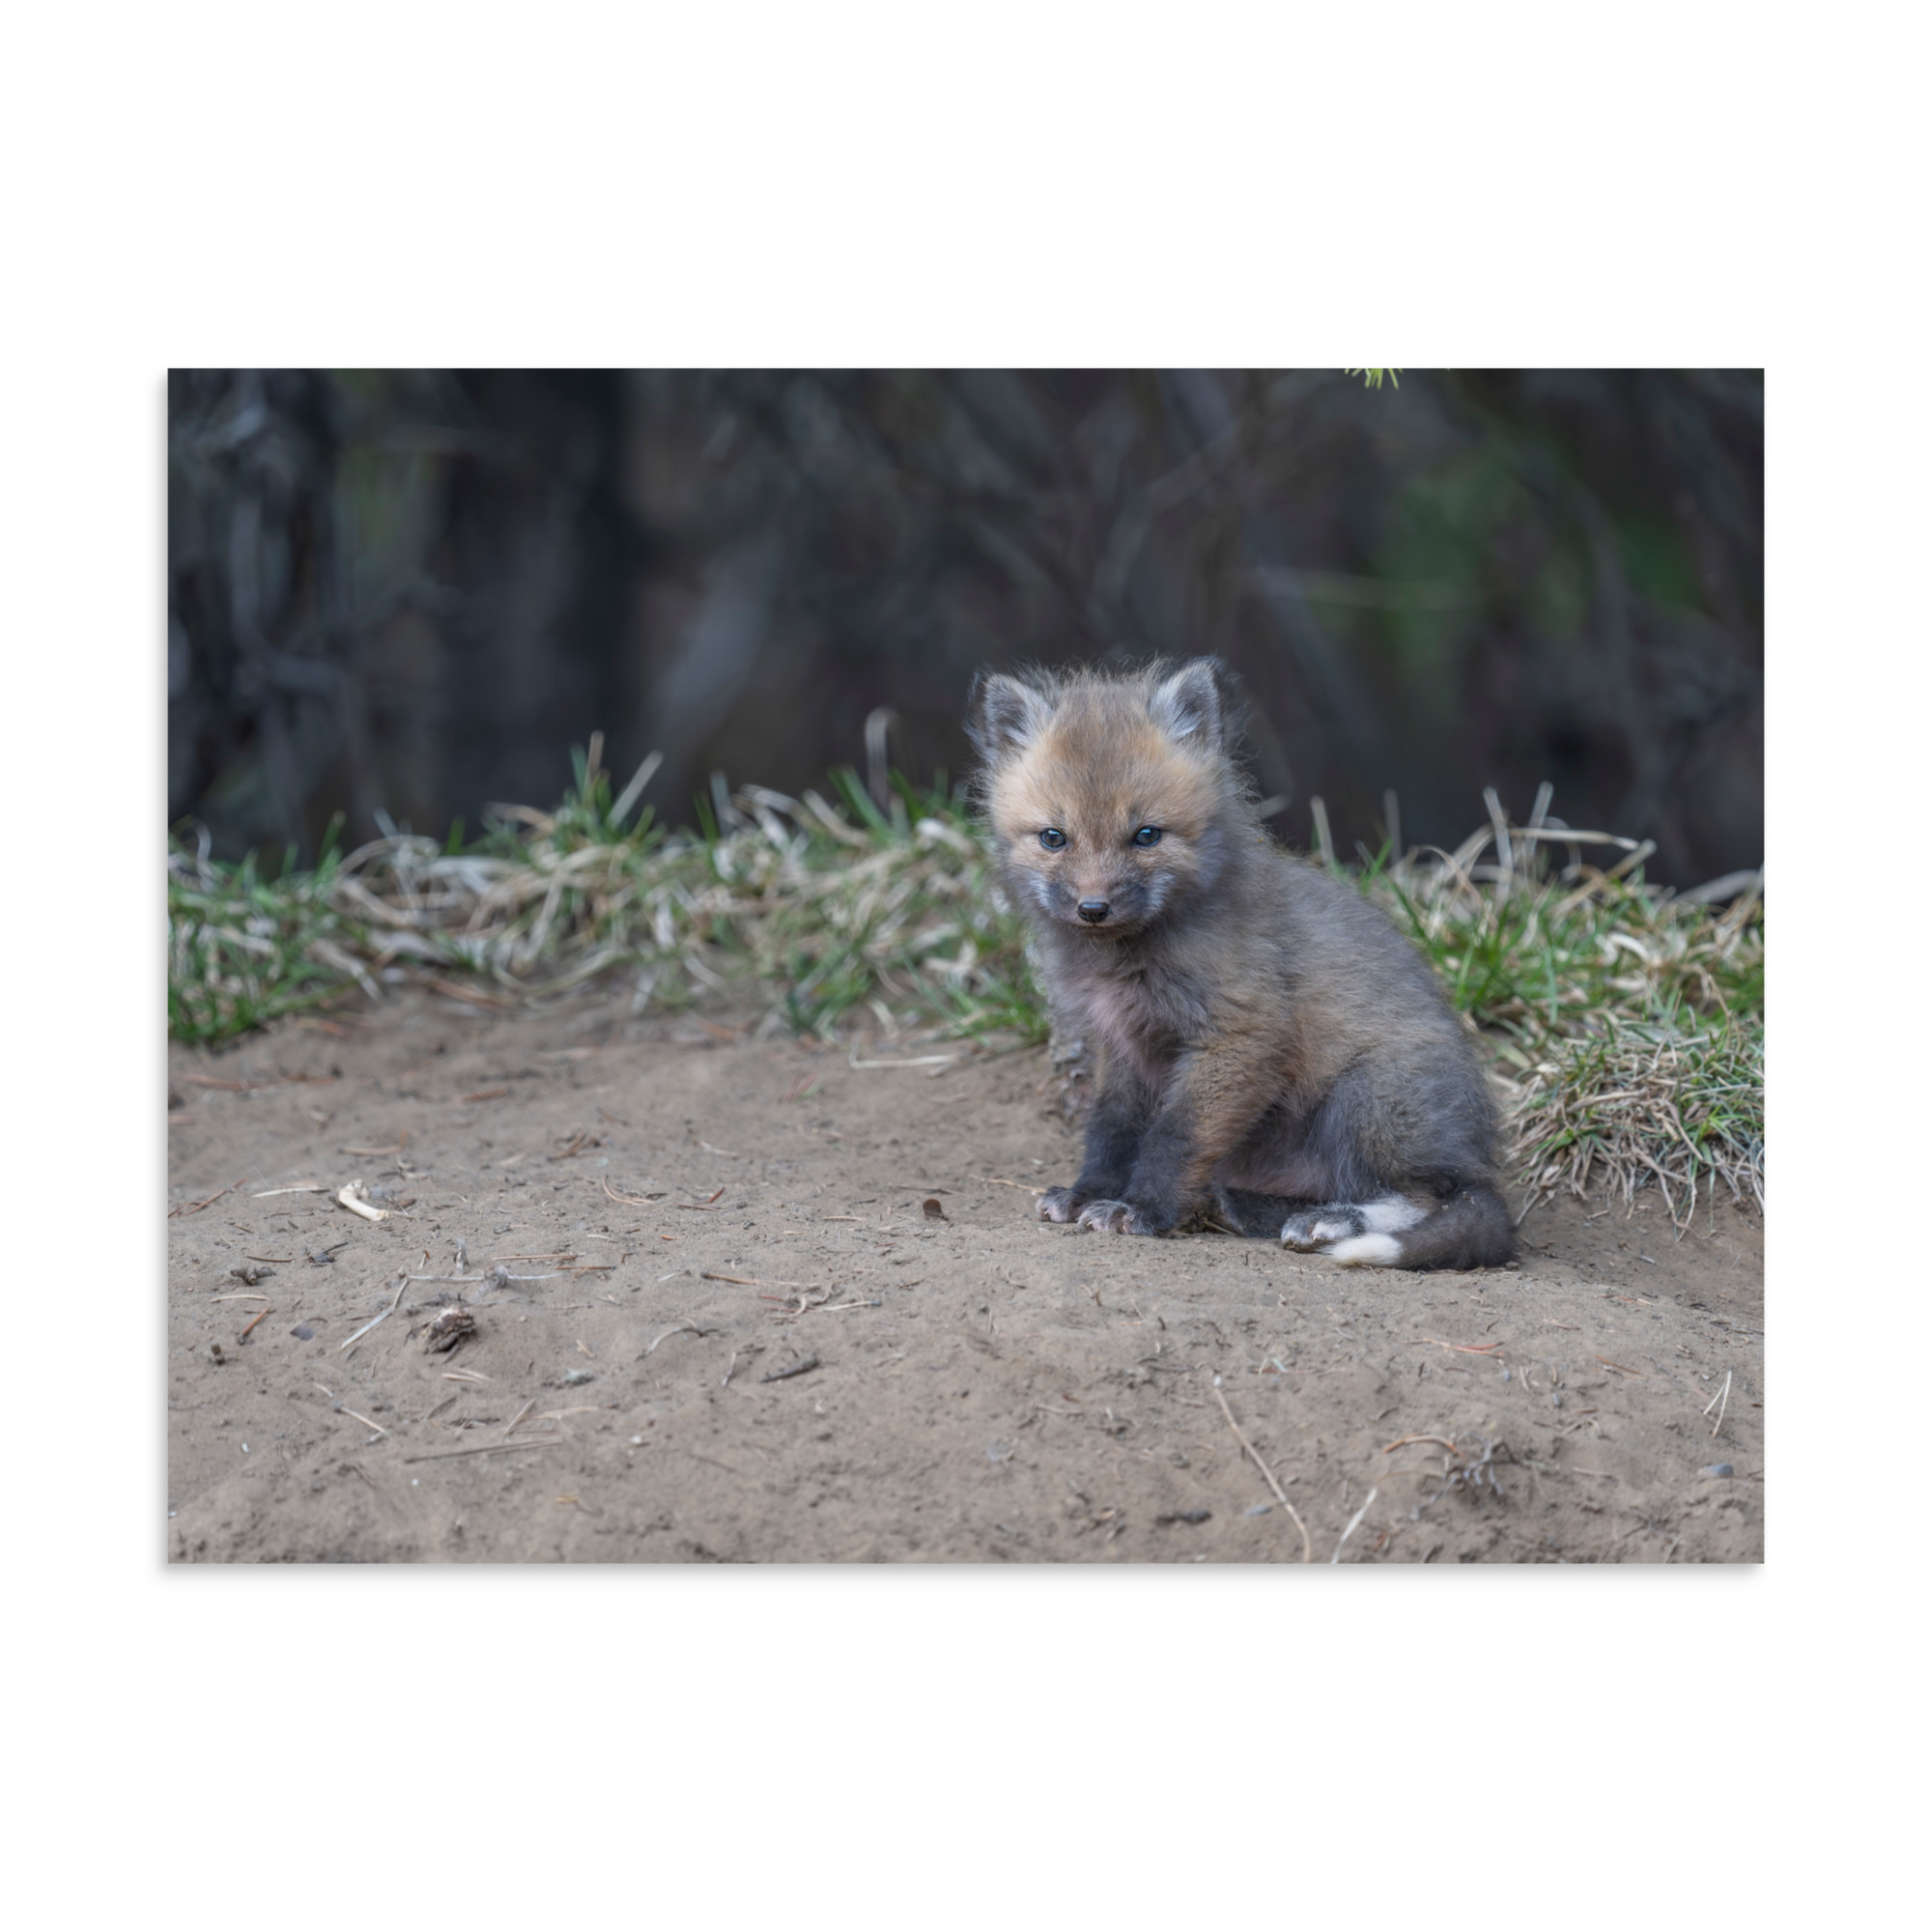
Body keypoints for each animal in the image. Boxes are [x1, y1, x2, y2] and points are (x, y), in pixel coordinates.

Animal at [967, 656, 1514, 1271]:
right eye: (1054, 838)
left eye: (1146, 835)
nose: (1093, 908)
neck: (1126, 960)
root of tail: (1477, 1155)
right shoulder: (1123, 1046)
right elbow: (1111, 1130)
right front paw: (1090, 1193)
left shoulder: (1239, 1035)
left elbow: (1174, 1137)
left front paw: (1142, 1210)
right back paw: (1246, 1207)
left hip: (1367, 1098)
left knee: (1430, 1197)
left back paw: (1331, 1222)